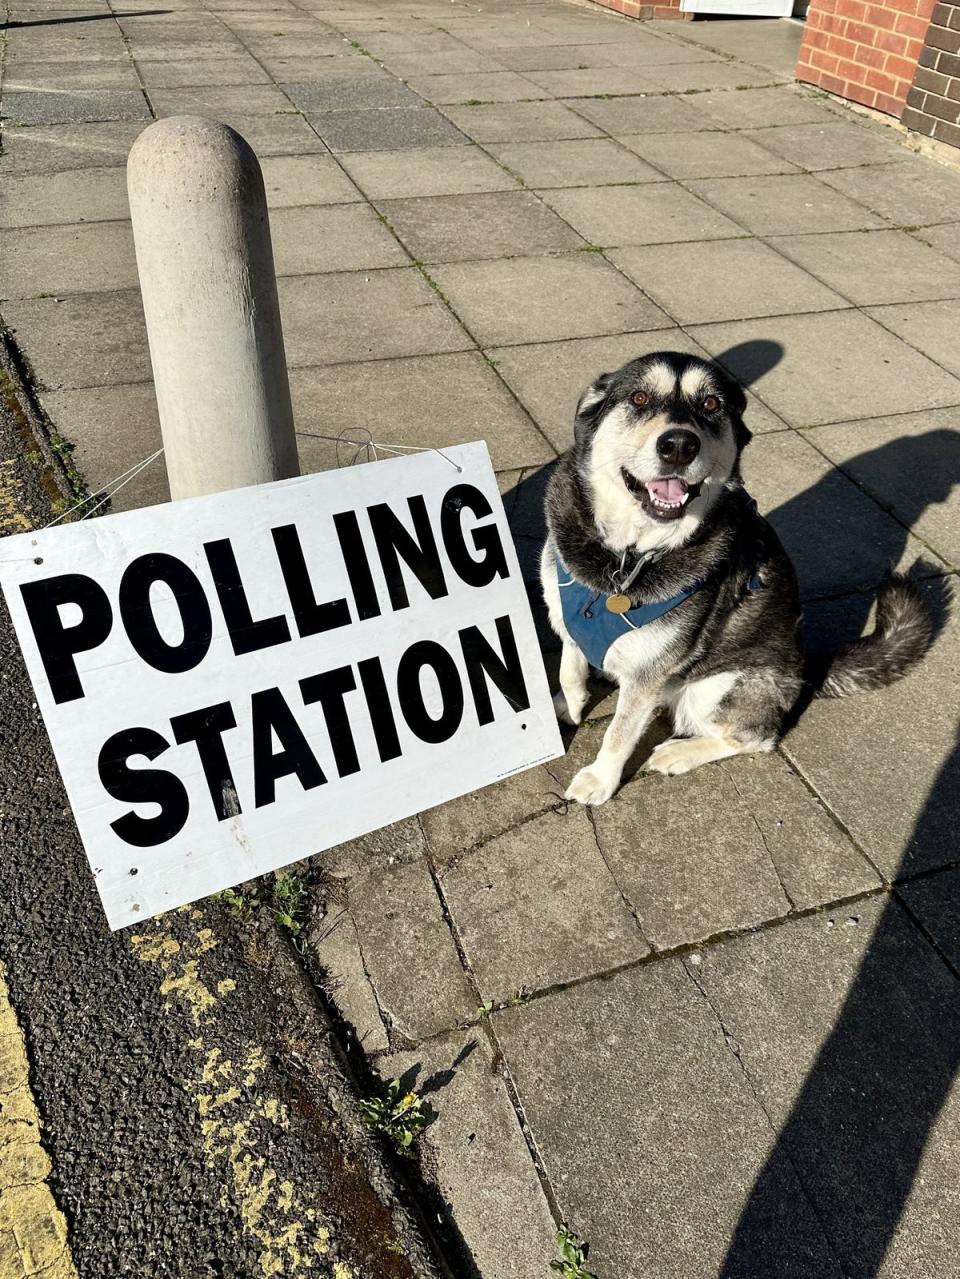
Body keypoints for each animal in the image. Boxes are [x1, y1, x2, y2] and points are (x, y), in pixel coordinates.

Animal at [544, 347, 935, 808]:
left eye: (712, 404)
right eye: (639, 398)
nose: (679, 445)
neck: (629, 556)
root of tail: (806, 667)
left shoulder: (647, 679)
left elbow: (619, 733)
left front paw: (600, 779)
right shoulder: (567, 617)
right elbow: (569, 669)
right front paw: (567, 705)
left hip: (715, 688)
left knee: (756, 737)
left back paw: (679, 752)